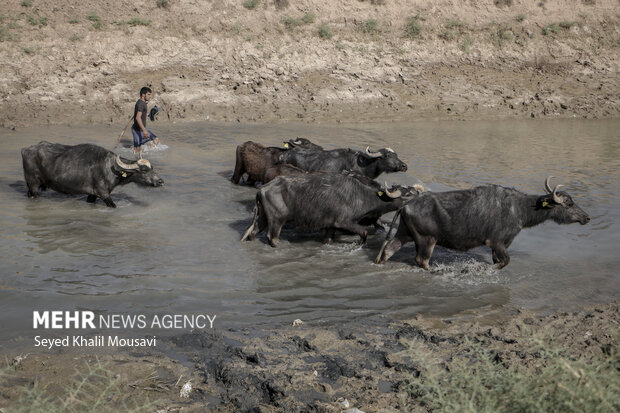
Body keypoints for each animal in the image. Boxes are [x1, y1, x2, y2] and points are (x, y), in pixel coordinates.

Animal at [21, 142, 163, 208]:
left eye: (152, 168)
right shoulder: (104, 194)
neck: (110, 168)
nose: (160, 181)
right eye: (143, 170)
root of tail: (26, 149)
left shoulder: (92, 195)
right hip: (33, 185)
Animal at [240, 172, 424, 246]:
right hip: (277, 220)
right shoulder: (343, 222)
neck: (361, 195)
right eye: (407, 195)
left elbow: (328, 240)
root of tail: (263, 189)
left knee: (253, 233)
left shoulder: (331, 226)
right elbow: (364, 232)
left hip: (263, 218)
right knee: (272, 237)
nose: (421, 197)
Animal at [372, 175, 592, 268]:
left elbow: (499, 261)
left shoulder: (500, 246)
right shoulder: (496, 242)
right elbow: (505, 262)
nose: (587, 217)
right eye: (569, 203)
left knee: (388, 250)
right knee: (421, 260)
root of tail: (406, 205)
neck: (519, 208)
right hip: (427, 240)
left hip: (404, 233)